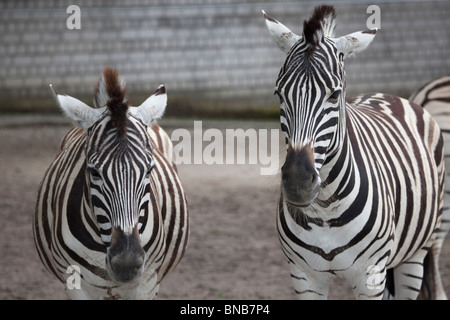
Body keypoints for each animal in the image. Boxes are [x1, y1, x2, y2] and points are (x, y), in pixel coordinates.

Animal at [262, 5, 448, 300]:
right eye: (279, 94)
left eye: (333, 94)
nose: (298, 183)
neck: (325, 210)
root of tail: (389, 95)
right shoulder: (304, 276)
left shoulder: (370, 276)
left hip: (416, 254)